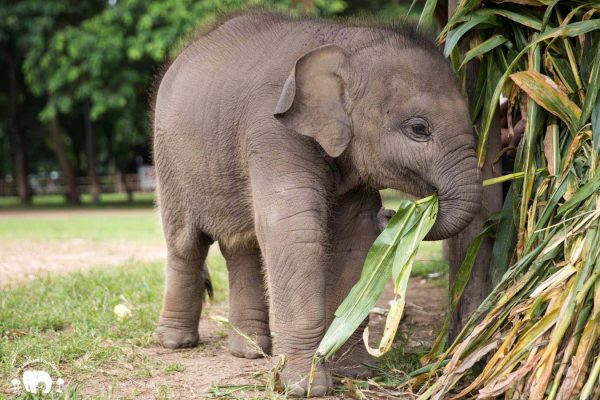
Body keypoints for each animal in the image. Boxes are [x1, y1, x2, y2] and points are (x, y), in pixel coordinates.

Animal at [154, 12, 482, 396]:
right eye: (418, 128)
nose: (390, 213)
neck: (346, 41)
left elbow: (356, 237)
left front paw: (357, 372)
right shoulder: (272, 132)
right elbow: (294, 230)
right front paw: (304, 386)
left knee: (242, 246)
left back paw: (250, 350)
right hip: (169, 161)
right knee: (186, 244)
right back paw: (176, 342)